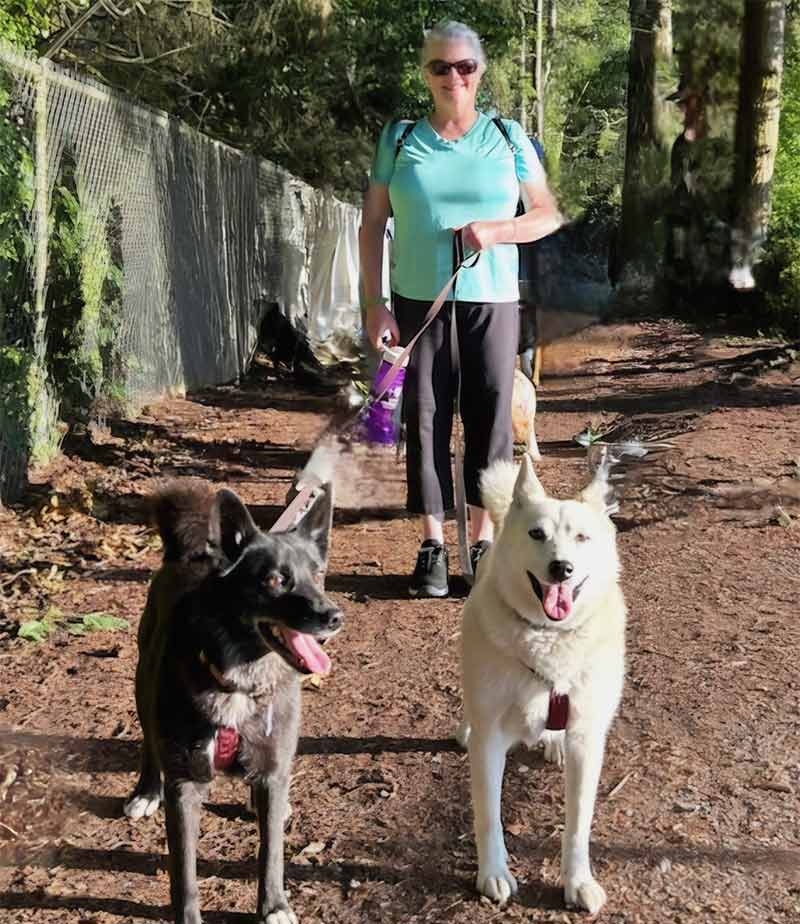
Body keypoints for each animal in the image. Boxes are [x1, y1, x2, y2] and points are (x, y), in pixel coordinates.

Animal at [125, 480, 340, 924]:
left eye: (317, 575)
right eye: (274, 580)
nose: (334, 617)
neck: (239, 682)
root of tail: (192, 552)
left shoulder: (273, 767)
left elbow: (271, 851)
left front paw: (274, 907)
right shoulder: (185, 785)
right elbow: (184, 872)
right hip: (142, 683)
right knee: (148, 740)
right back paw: (146, 790)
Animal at [456, 452, 624, 912]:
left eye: (582, 537)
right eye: (537, 533)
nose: (561, 568)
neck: (549, 638)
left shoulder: (587, 739)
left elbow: (578, 825)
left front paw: (578, 881)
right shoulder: (490, 742)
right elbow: (488, 817)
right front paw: (493, 874)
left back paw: (552, 741)